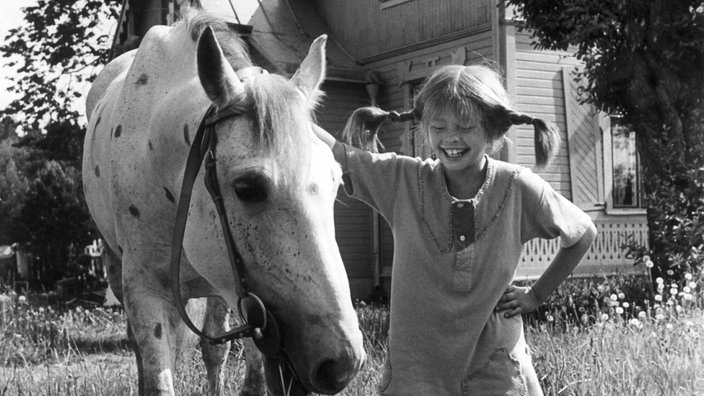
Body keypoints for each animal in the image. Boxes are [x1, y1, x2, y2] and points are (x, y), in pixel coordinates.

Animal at [84, 10, 364, 394]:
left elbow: (239, 368)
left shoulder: (249, 304)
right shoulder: (144, 289)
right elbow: (158, 376)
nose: (343, 362)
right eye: (247, 187)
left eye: (336, 181)